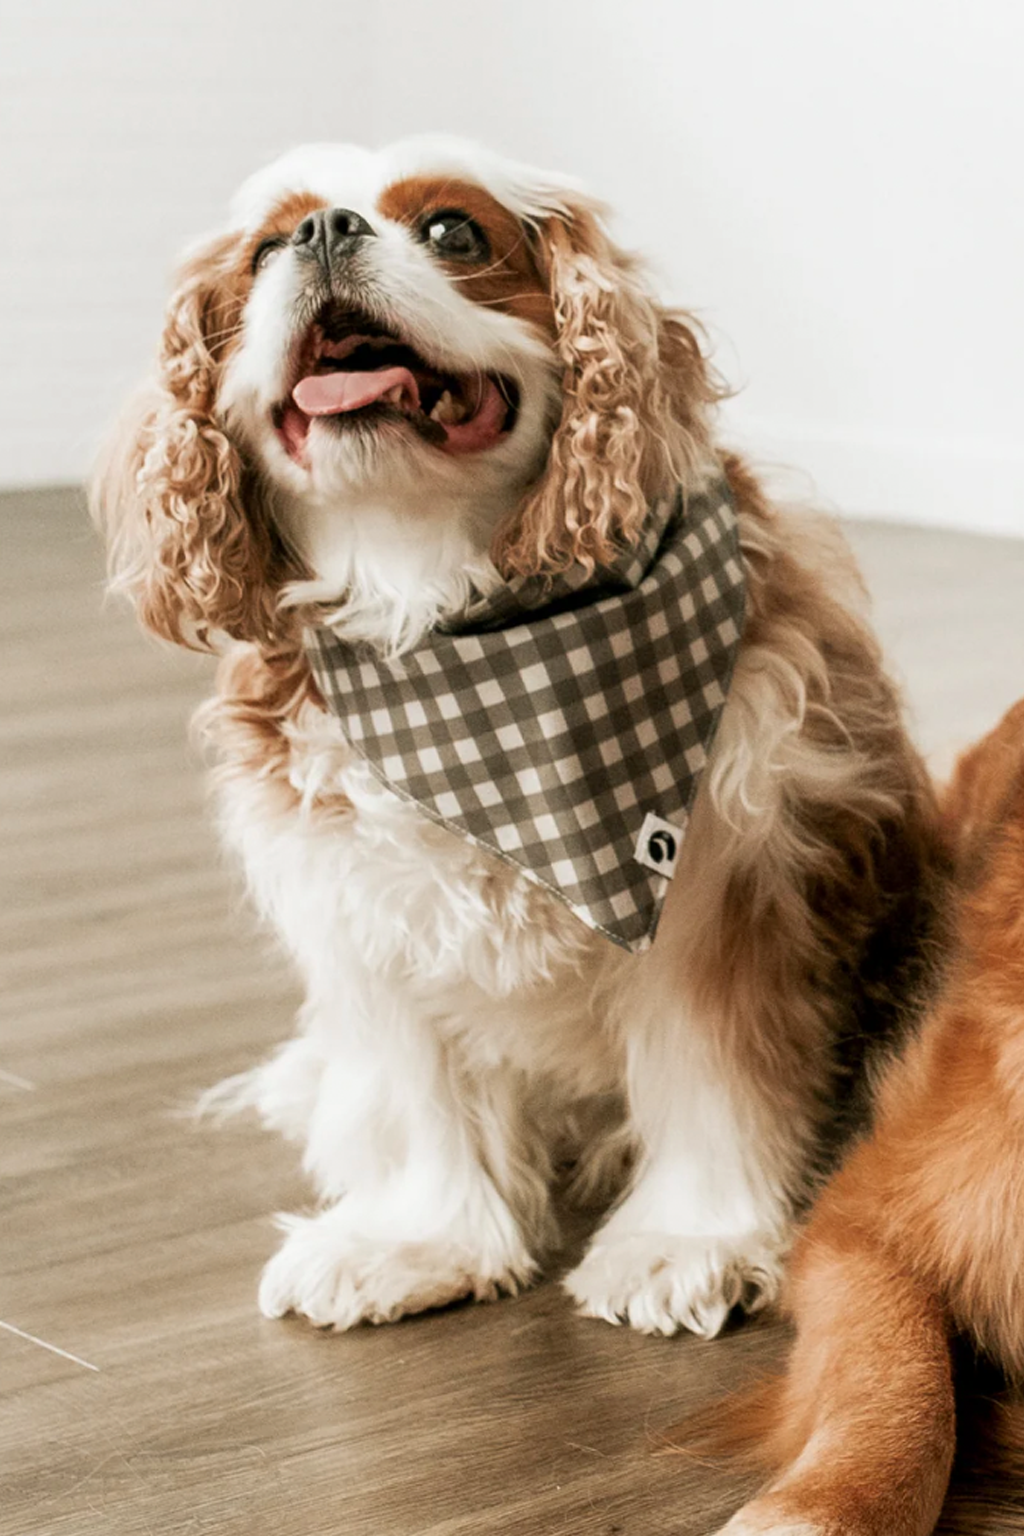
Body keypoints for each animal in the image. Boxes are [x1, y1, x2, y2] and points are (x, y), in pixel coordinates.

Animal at [92, 138, 951, 1339]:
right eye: (265, 248)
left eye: (454, 231)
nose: (322, 233)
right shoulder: (363, 892)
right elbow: (415, 1089)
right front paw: (417, 1240)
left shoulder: (713, 874)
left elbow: (706, 1069)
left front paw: (683, 1244)